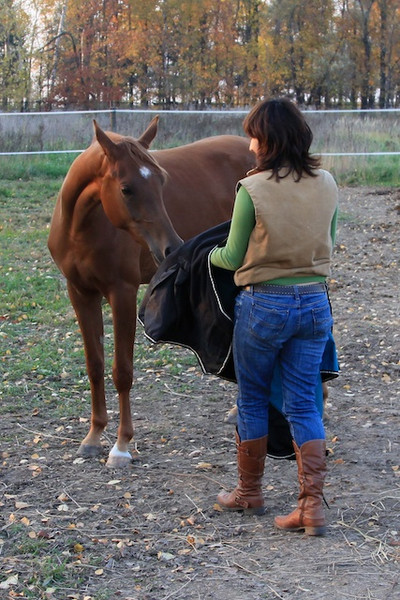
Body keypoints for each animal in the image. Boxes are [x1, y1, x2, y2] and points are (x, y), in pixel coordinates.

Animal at [47, 116, 253, 468]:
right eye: (126, 188)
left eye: (162, 181)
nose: (171, 247)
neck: (82, 226)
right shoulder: (80, 294)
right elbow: (95, 365)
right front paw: (93, 436)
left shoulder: (122, 294)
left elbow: (122, 371)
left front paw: (121, 446)